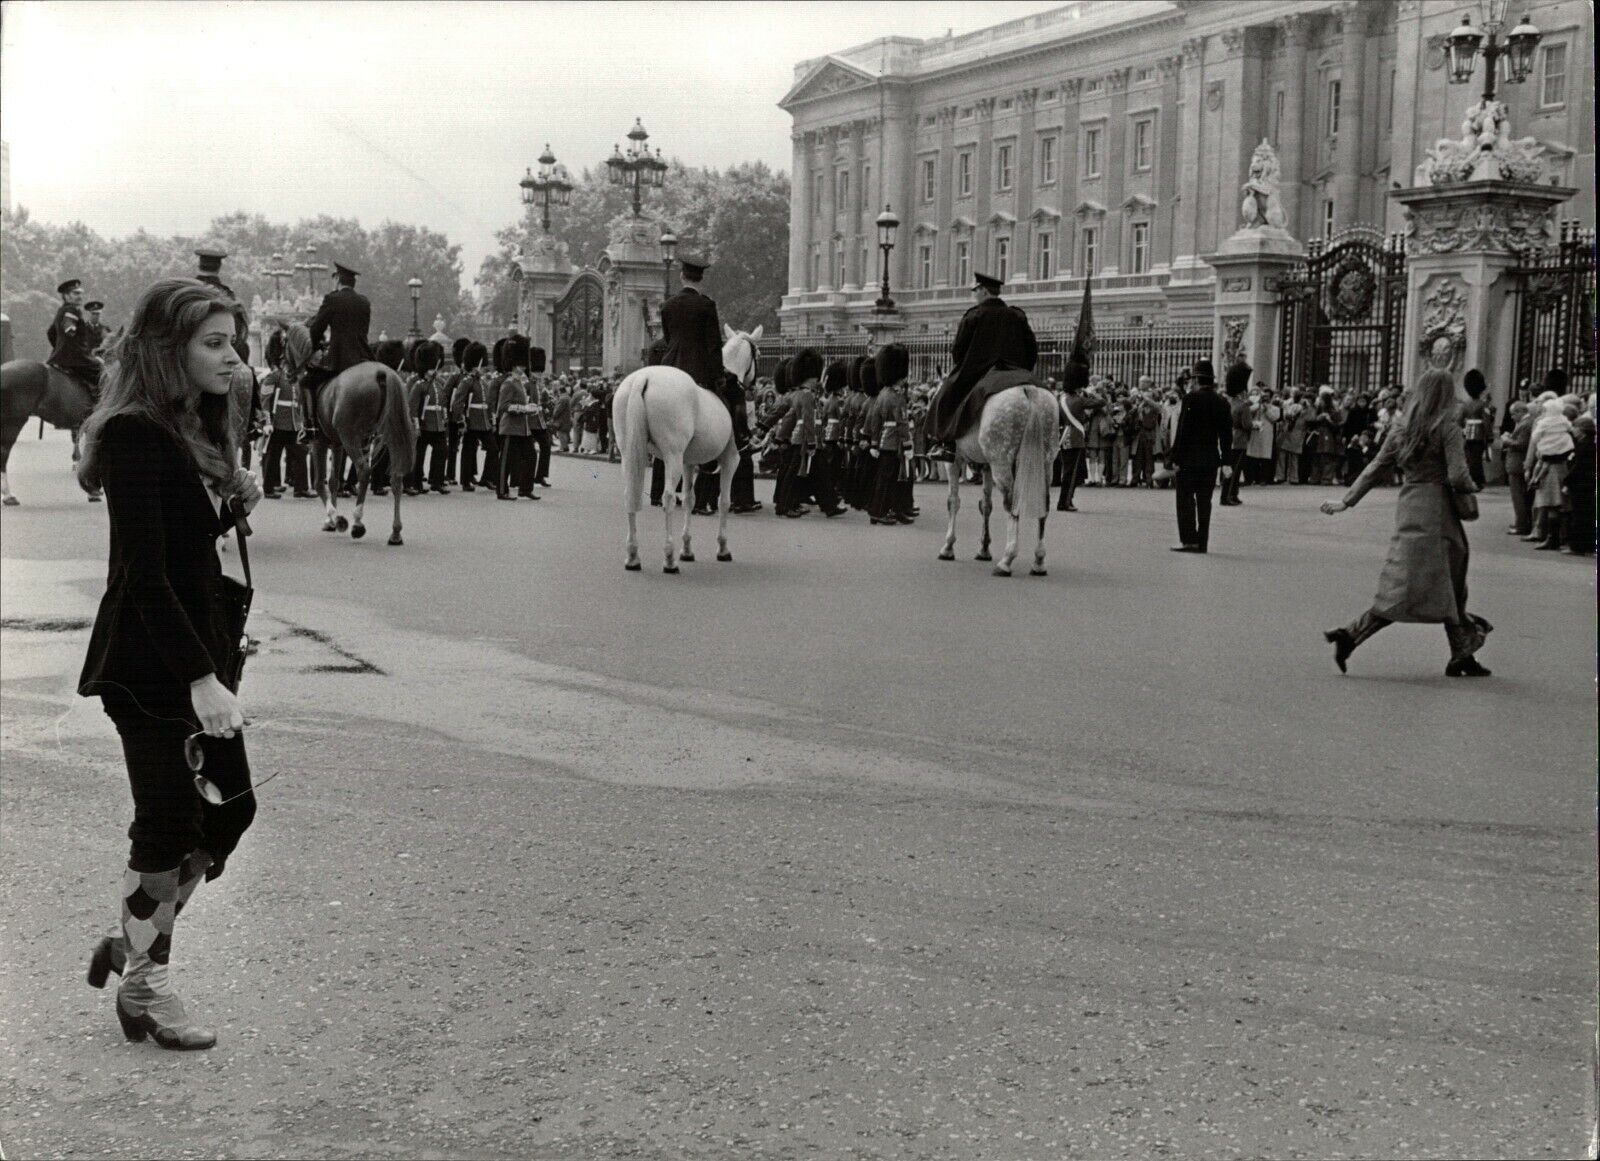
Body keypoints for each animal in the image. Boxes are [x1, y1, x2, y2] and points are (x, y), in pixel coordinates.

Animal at [284, 324, 416, 546]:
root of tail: (382, 373)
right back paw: (395, 532)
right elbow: (333, 481)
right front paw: (330, 521)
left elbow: (319, 482)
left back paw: (357, 522)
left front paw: (336, 519)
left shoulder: (319, 443)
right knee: (396, 477)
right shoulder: (336, 444)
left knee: (364, 470)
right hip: (389, 434)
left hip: (351, 437)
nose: (287, 373)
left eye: (282, 342)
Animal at [611, 324, 761, 575]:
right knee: (668, 498)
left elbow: (690, 498)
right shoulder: (730, 459)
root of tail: (643, 377)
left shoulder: (688, 461)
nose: (752, 389)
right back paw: (669, 559)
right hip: (671, 455)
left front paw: (687, 549)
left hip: (628, 452)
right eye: (757, 354)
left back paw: (632, 556)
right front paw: (722, 548)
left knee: (629, 493)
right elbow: (724, 501)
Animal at [934, 383, 1062, 578]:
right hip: (1046, 464)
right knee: (1044, 507)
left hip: (1001, 463)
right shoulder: (987, 466)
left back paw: (1006, 561)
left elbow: (953, 502)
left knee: (1012, 505)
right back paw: (1038, 562)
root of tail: (1029, 390)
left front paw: (948, 547)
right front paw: (984, 549)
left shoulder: (954, 462)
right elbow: (986, 505)